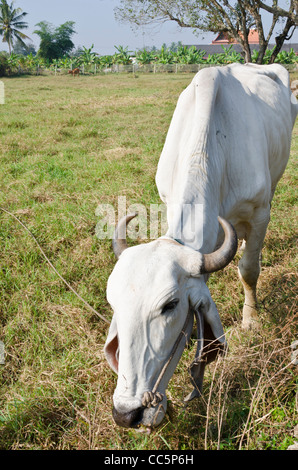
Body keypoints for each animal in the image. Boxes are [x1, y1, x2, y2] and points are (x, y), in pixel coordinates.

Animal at [103, 64, 296, 432]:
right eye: (114, 303)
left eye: (169, 306)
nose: (126, 413)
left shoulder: (259, 213)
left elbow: (249, 269)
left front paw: (250, 320)